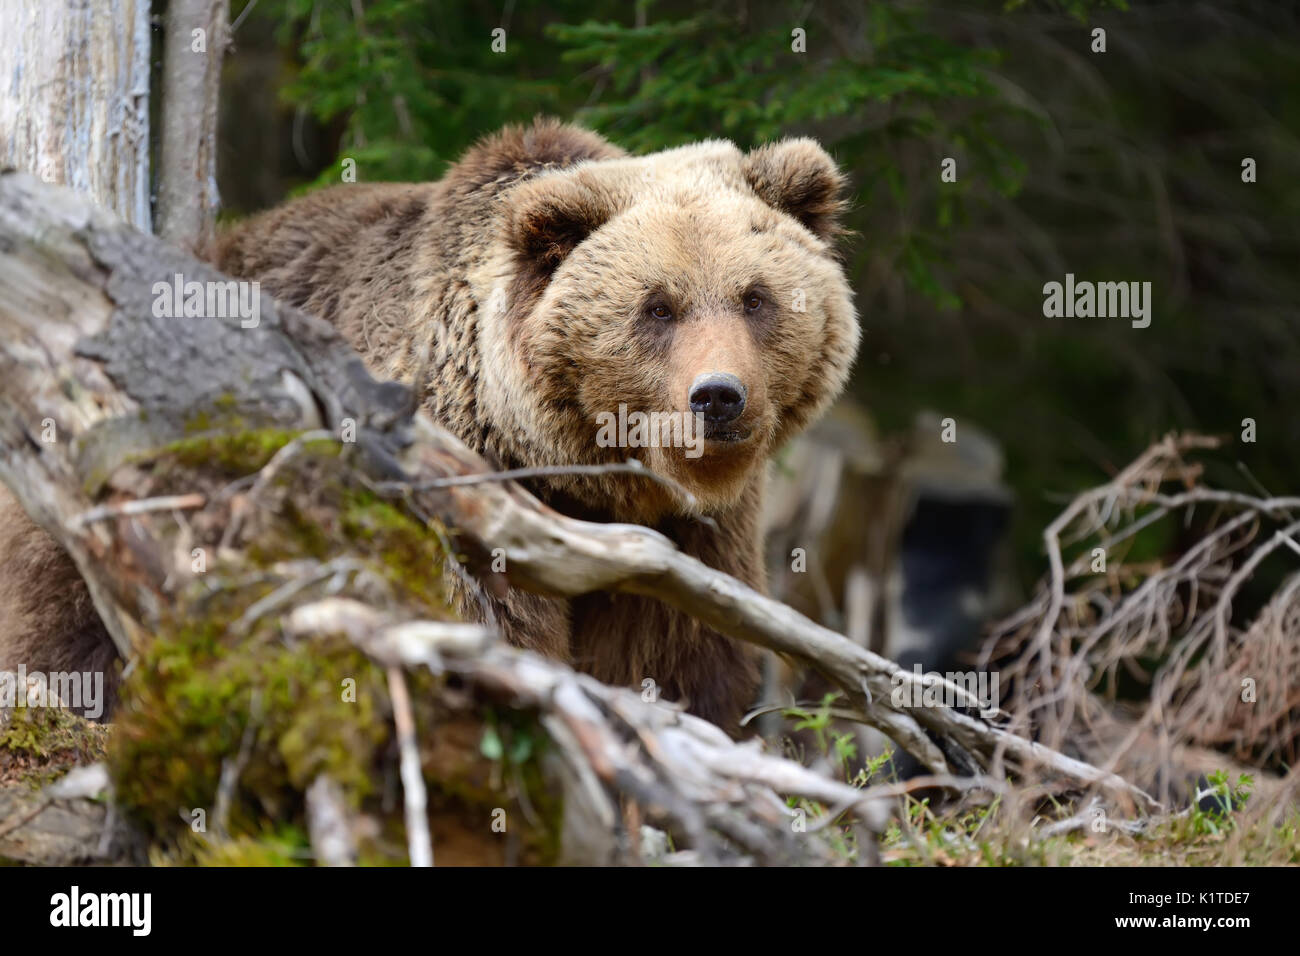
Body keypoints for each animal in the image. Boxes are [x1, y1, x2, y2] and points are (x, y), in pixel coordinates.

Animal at [0, 118, 859, 731]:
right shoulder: (459, 489)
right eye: (658, 307)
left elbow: (676, 654)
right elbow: (478, 621)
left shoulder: (691, 536)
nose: (717, 397)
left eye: (755, 297)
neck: (579, 474)